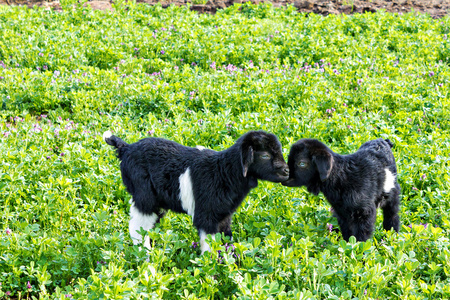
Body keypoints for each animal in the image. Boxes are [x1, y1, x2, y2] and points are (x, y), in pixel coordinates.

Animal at [104, 131, 290, 253]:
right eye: (265, 155)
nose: (287, 171)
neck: (223, 172)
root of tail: (125, 148)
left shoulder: (223, 215)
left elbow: (226, 238)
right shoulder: (207, 215)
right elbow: (210, 246)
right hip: (145, 196)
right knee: (138, 226)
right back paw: (145, 255)